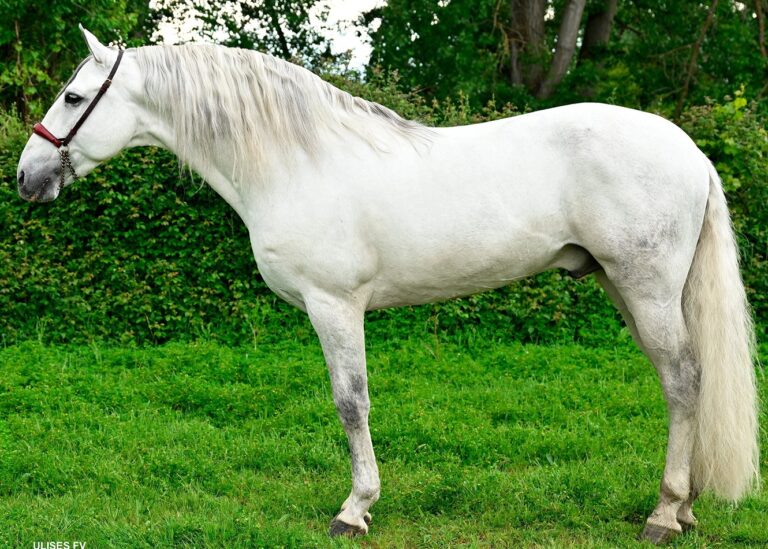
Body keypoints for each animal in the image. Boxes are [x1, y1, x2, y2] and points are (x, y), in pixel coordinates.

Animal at [16, 27, 759, 544]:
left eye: (74, 97)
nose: (26, 177)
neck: (297, 161)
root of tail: (689, 150)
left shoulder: (334, 306)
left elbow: (351, 403)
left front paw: (355, 509)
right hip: (627, 289)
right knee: (680, 382)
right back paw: (685, 509)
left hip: (646, 289)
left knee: (684, 379)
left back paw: (665, 512)